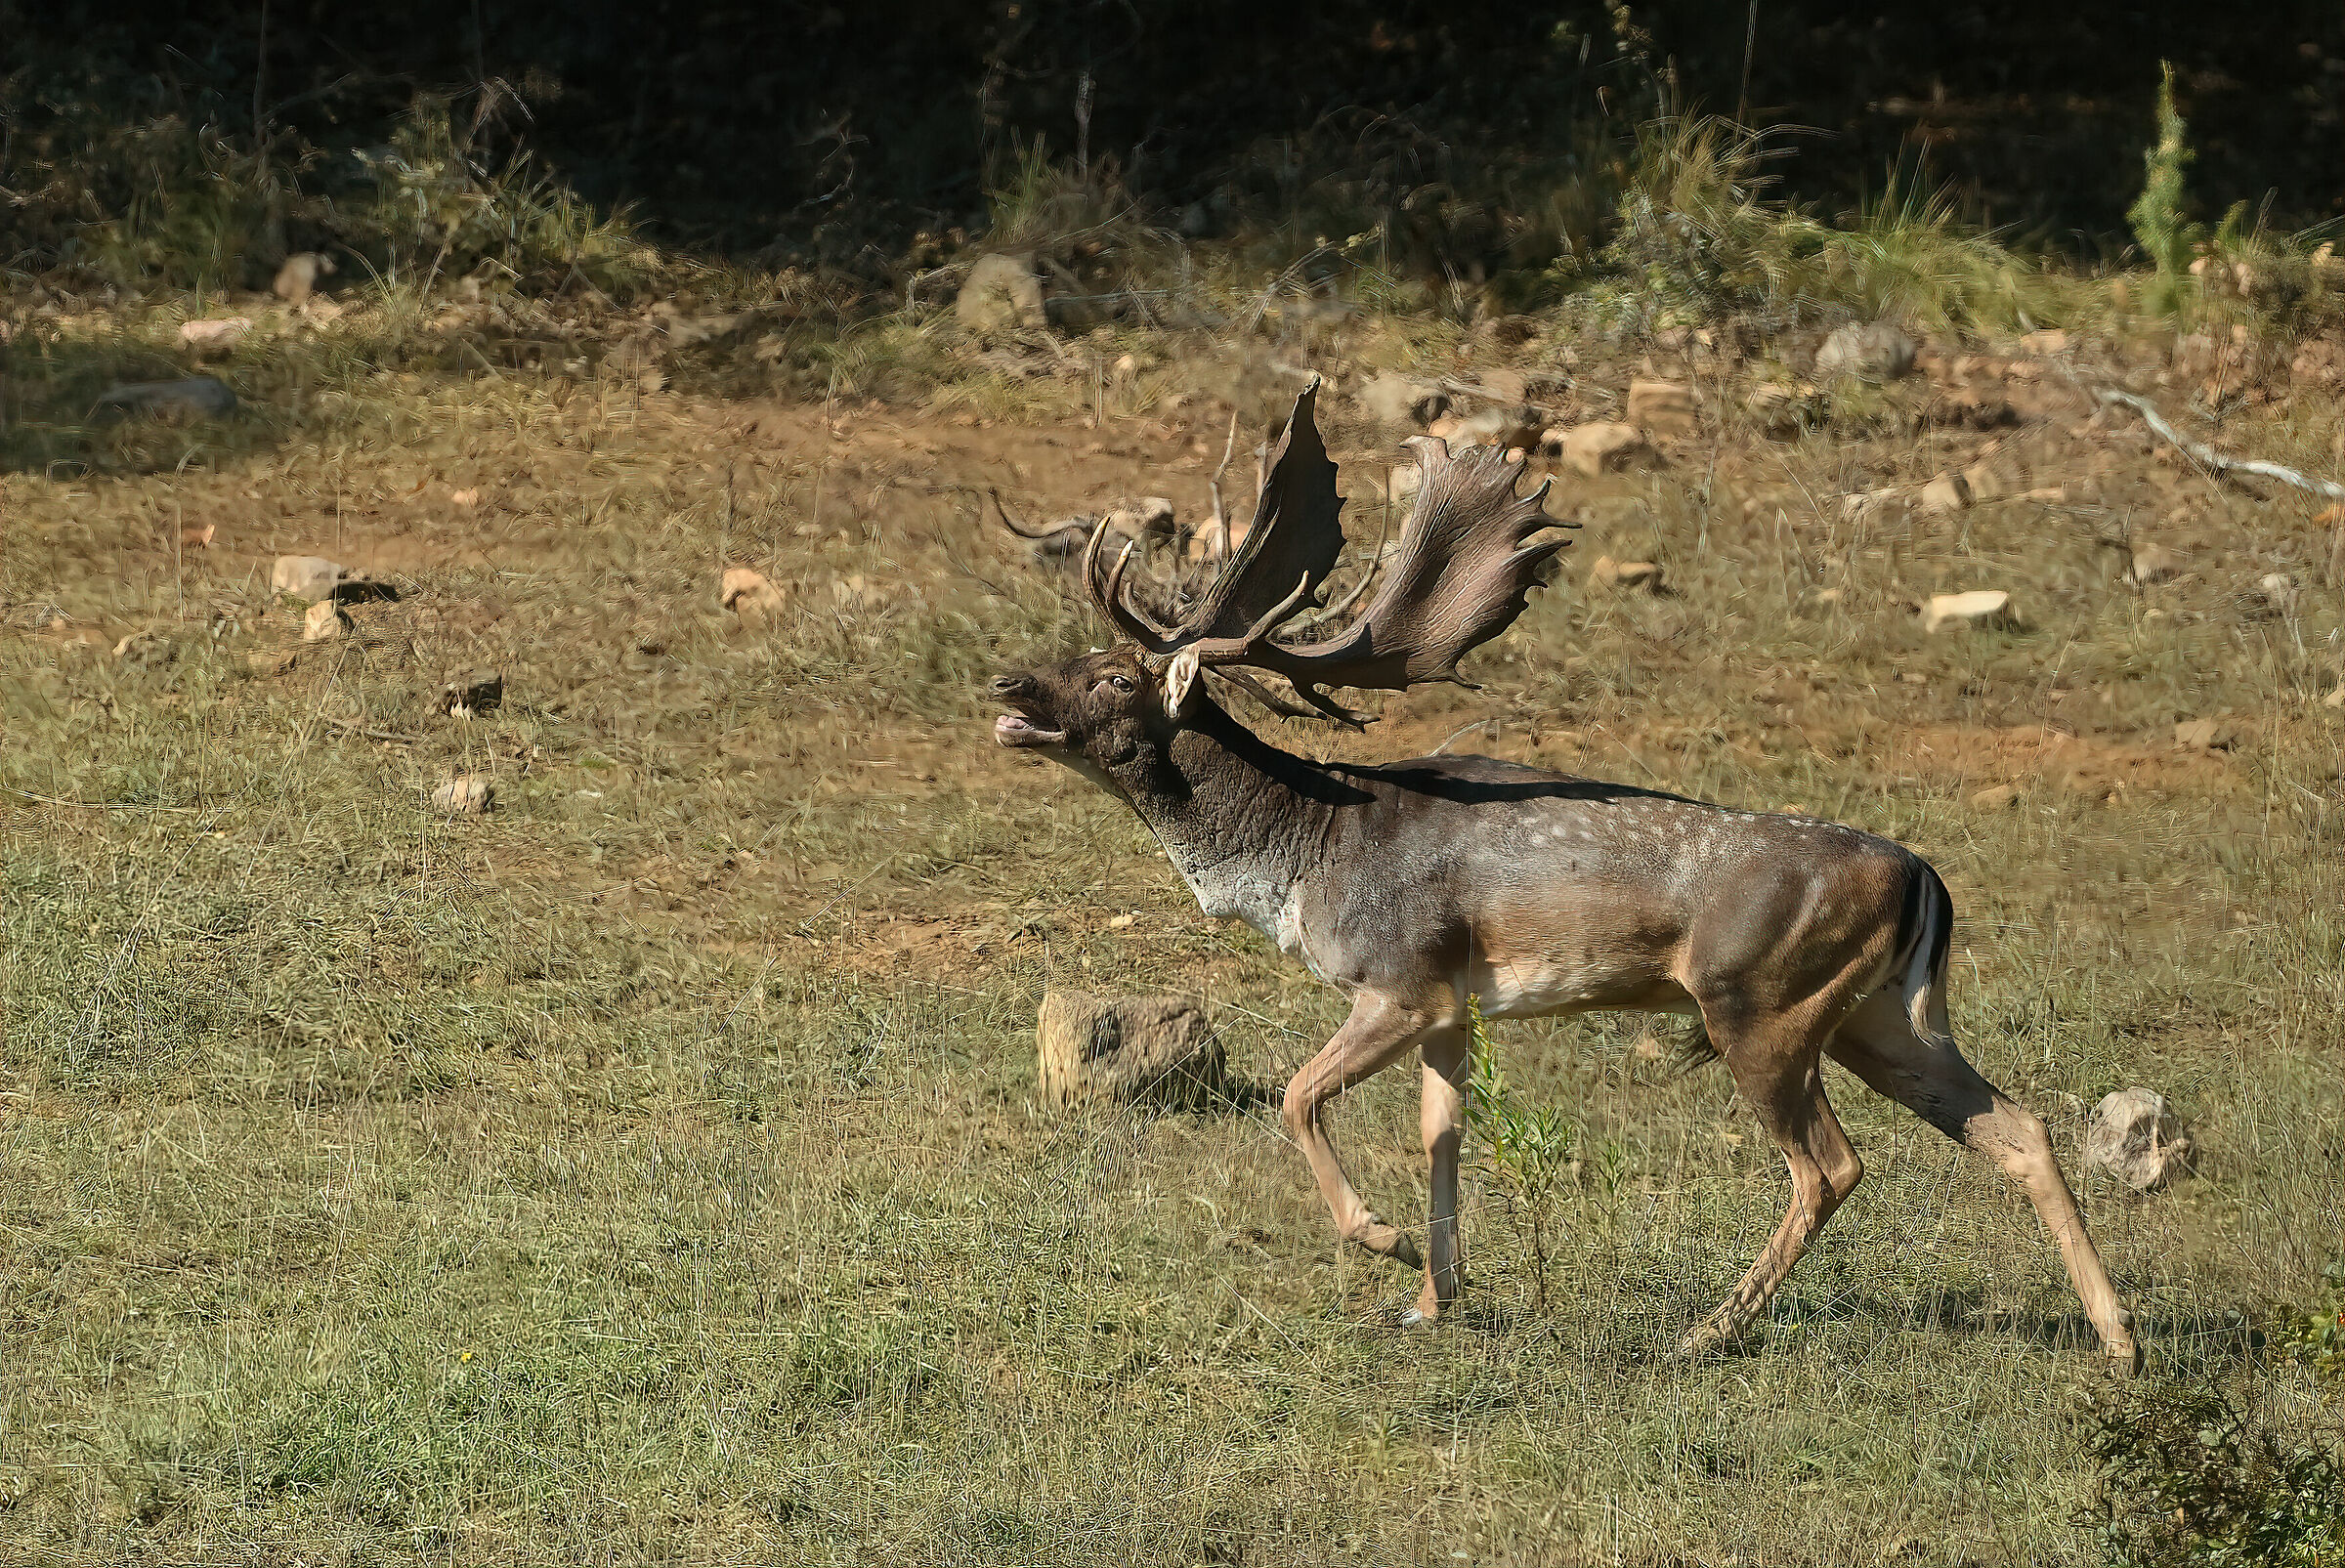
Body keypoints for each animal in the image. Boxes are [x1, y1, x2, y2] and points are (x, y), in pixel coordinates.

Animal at [987, 381, 2140, 1370]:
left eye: (1113, 675)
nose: (1007, 685)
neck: (1305, 856)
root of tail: (1926, 879)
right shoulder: (1454, 1006)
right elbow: (1442, 1136)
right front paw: (1432, 1298)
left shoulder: (1400, 978)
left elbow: (1297, 1094)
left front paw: (1384, 1241)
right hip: (1877, 1018)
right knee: (2019, 1127)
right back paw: (2120, 1338)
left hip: (1760, 1003)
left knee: (1832, 1164)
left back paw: (1706, 1331)